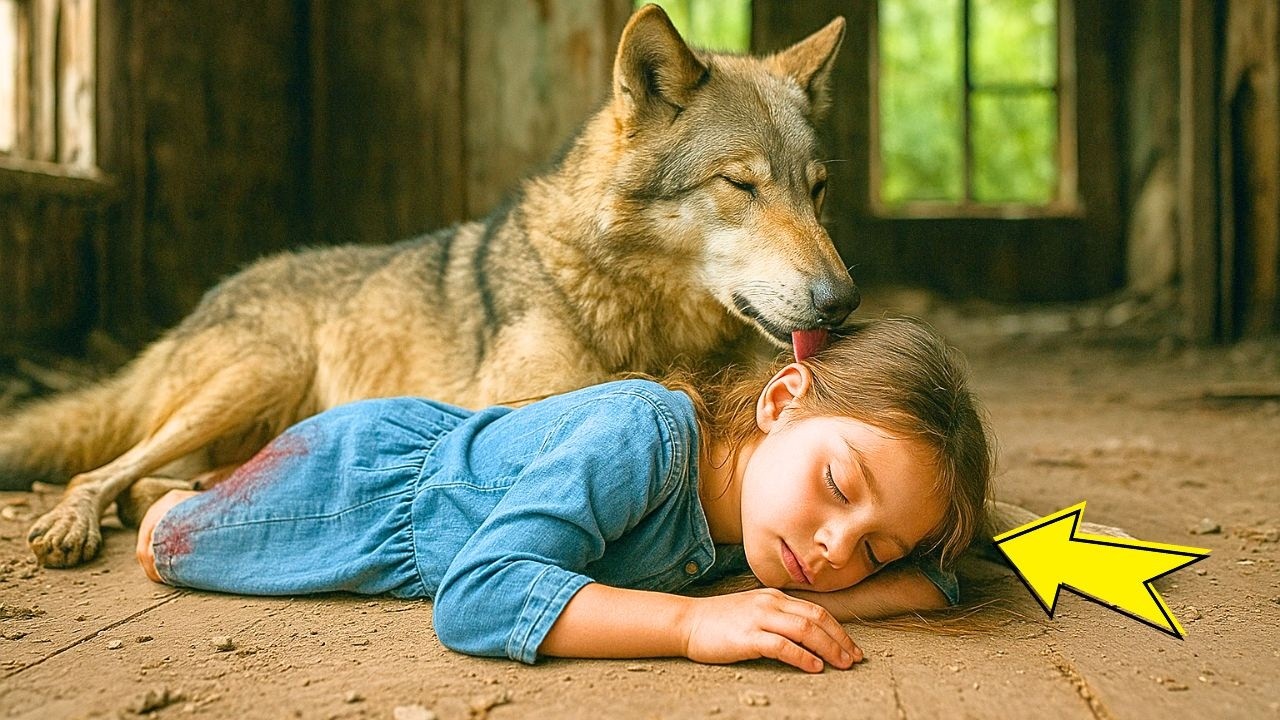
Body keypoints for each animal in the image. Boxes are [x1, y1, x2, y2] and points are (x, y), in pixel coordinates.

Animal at [3, 5, 861, 567]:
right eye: (741, 185)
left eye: (817, 190)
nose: (843, 301)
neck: (637, 309)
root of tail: (206, 299)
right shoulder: (507, 401)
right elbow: (642, 395)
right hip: (259, 374)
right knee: (100, 470)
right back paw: (75, 523)